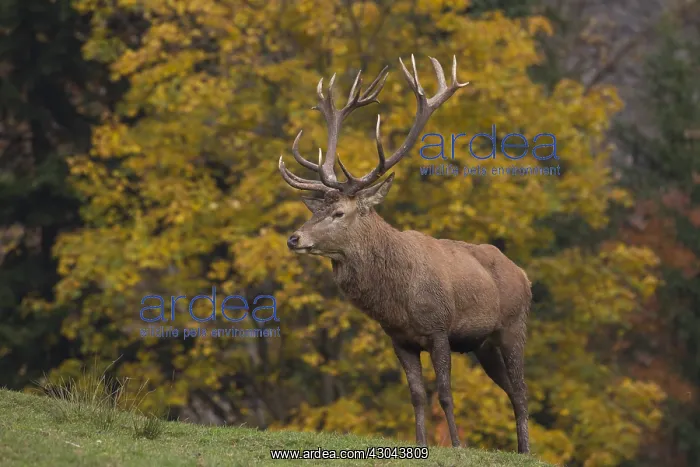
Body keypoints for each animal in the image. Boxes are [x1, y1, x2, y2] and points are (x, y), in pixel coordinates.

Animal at [278, 54, 532, 454]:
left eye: (339, 213)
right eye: (316, 210)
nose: (294, 238)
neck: (398, 299)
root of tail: (523, 274)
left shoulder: (440, 328)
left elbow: (444, 393)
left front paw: (456, 445)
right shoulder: (400, 339)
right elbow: (416, 395)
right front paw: (420, 443)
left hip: (512, 326)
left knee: (521, 390)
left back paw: (526, 451)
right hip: (482, 344)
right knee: (510, 389)